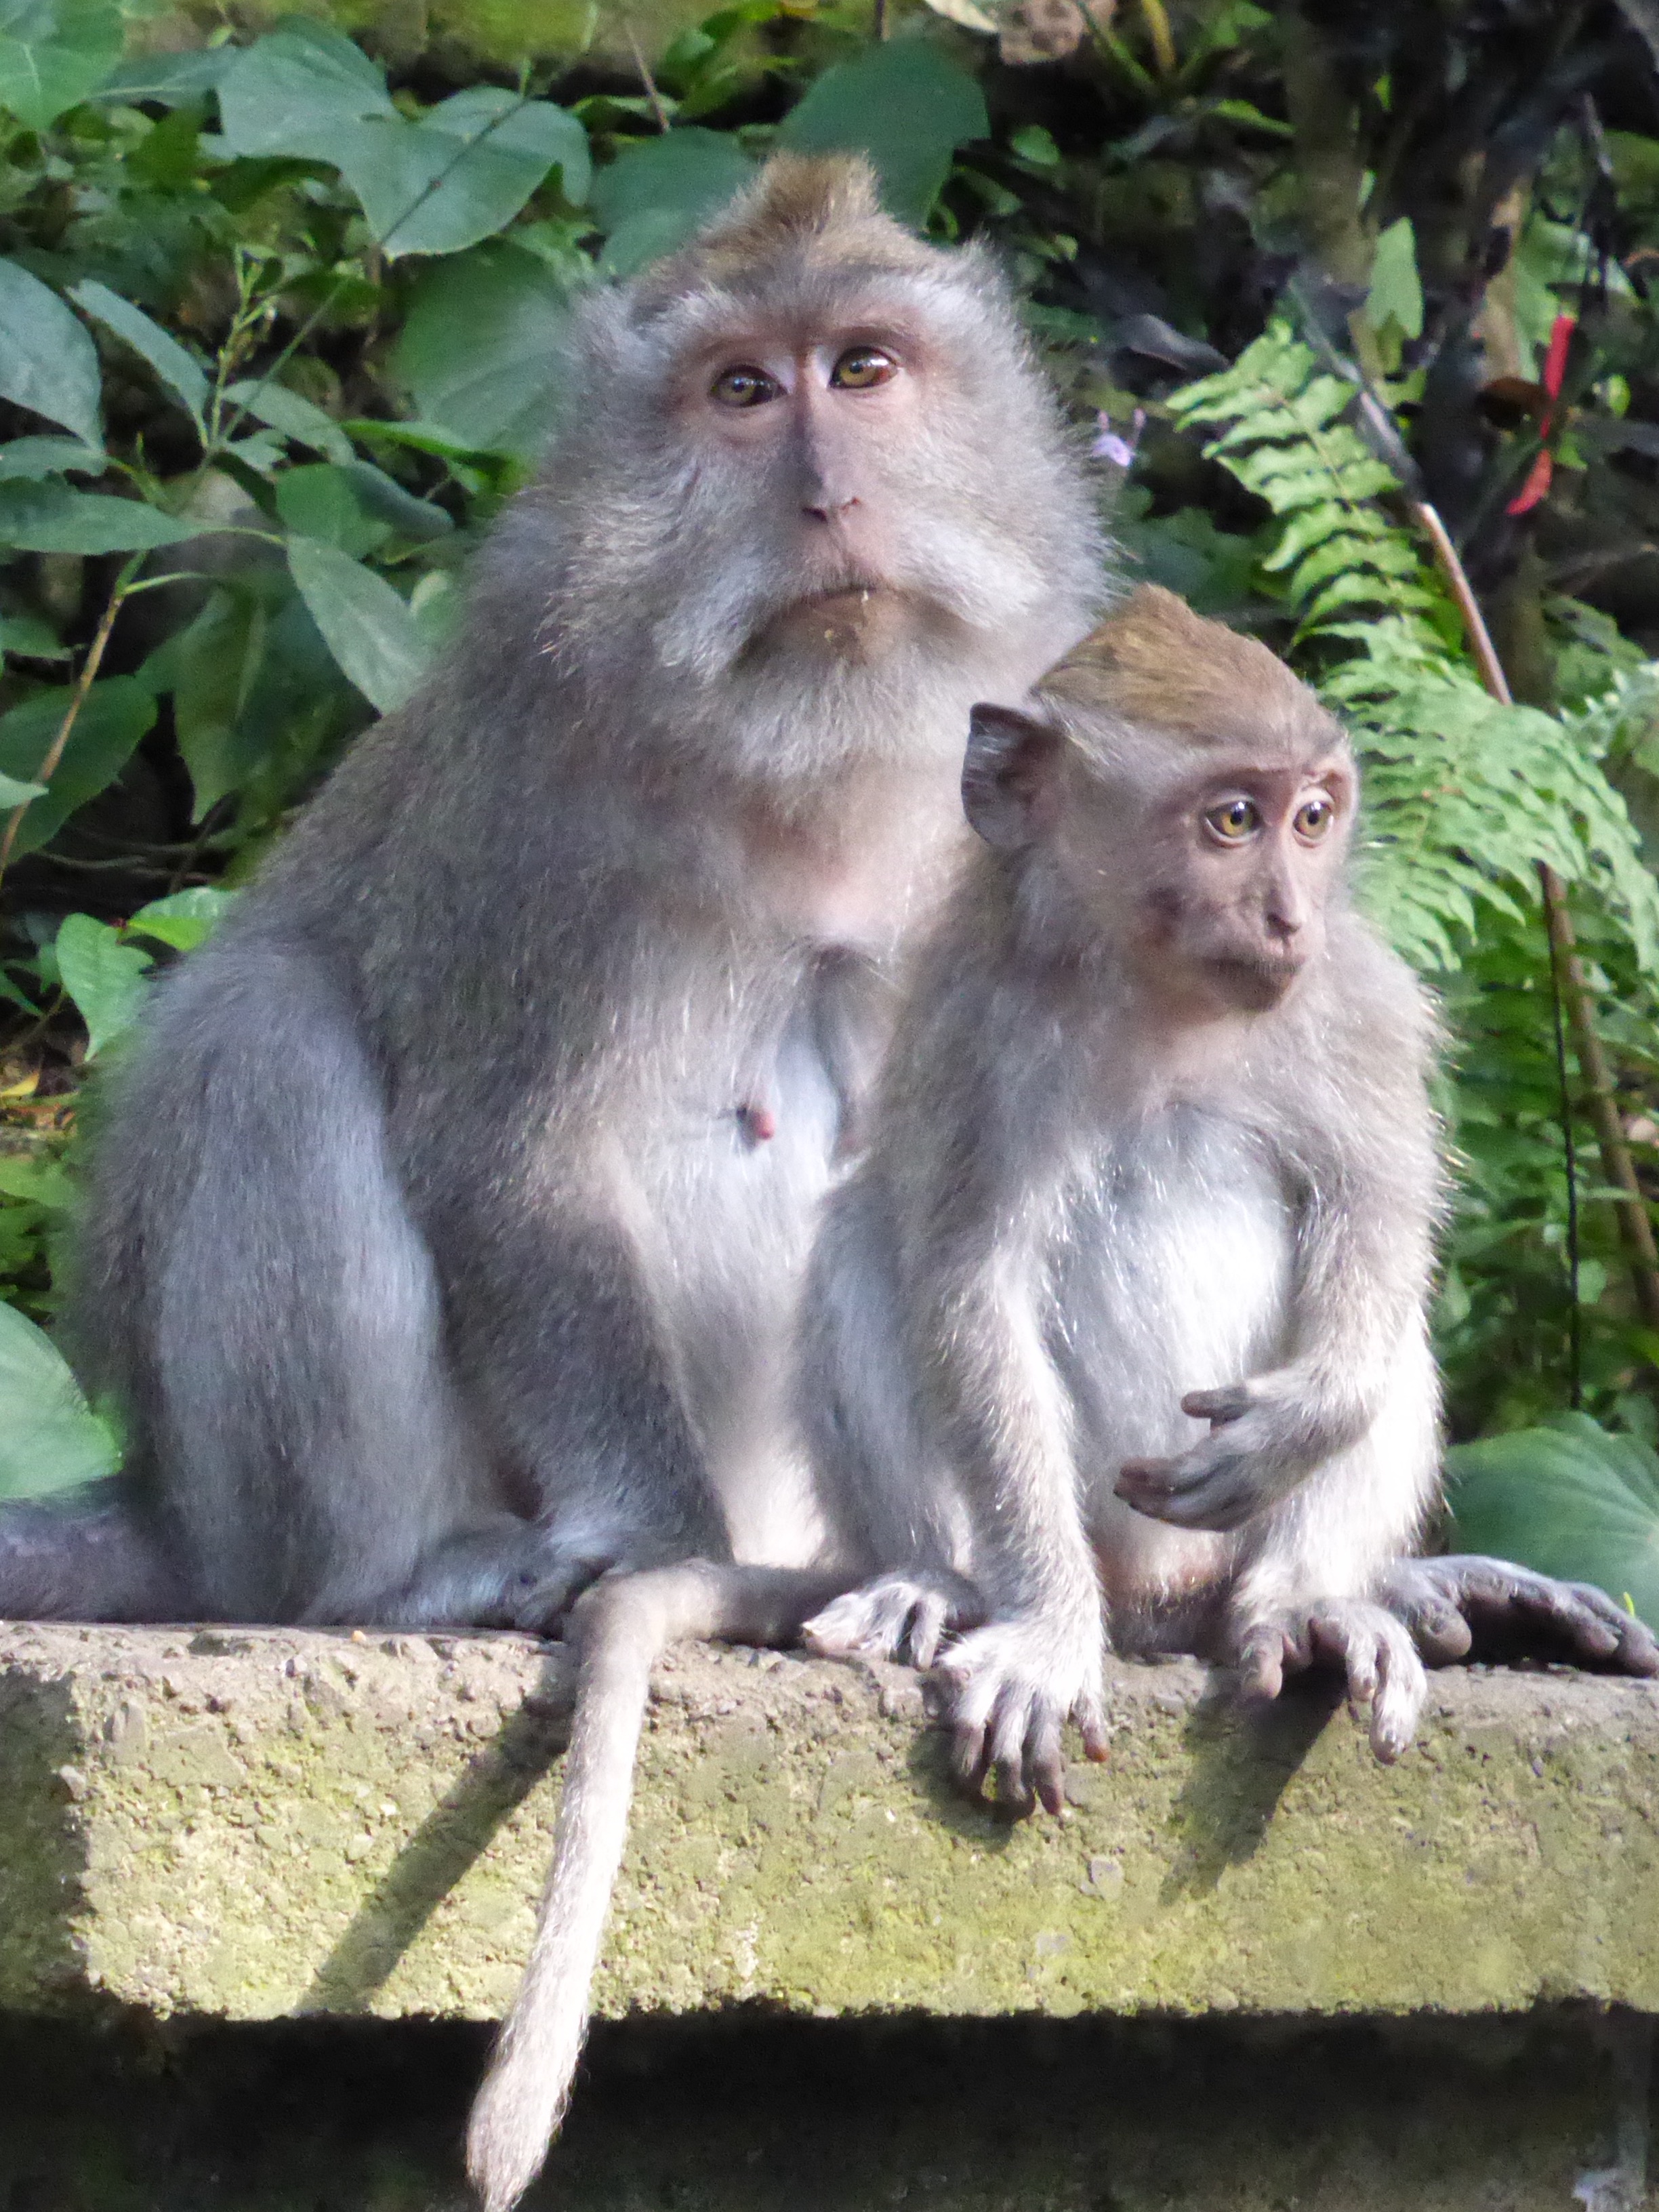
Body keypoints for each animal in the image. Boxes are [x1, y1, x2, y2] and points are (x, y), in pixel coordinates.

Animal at [0, 158, 1108, 2207]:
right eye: (740, 396)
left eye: (863, 368)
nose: (821, 492)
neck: (816, 766)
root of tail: (171, 1498)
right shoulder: (536, 784)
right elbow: (503, 1157)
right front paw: (663, 1553)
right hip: (261, 1497)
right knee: (272, 1038)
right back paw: (411, 1575)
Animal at [799, 585, 1659, 1816]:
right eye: (1232, 820)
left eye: (1312, 816)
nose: (1289, 916)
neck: (1168, 999)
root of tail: (1159, 1595)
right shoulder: (975, 1024)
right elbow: (971, 1287)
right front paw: (1047, 1633)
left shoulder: (1361, 1002)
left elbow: (1376, 1225)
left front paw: (1300, 1424)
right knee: (860, 1246)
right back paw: (941, 1580)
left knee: (1381, 1338)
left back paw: (1300, 1604)